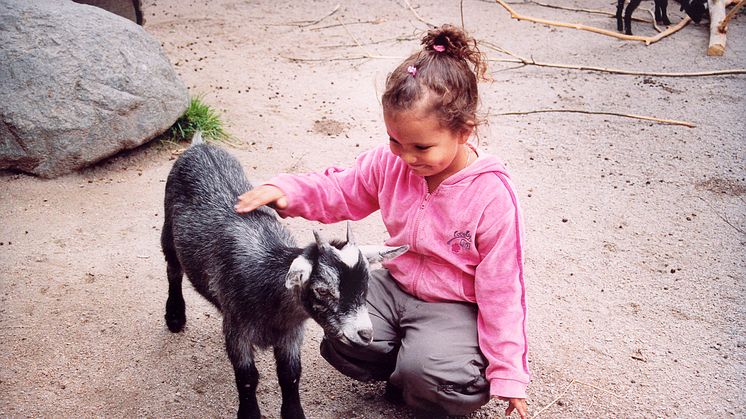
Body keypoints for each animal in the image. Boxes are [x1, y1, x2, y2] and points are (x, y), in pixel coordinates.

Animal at [161, 136, 406, 418]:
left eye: (365, 287)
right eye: (323, 290)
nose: (365, 334)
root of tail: (199, 146)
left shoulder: (291, 332)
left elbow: (290, 374)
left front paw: (293, 412)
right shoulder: (236, 328)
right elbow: (247, 377)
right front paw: (249, 414)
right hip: (168, 231)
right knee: (173, 270)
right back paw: (175, 316)